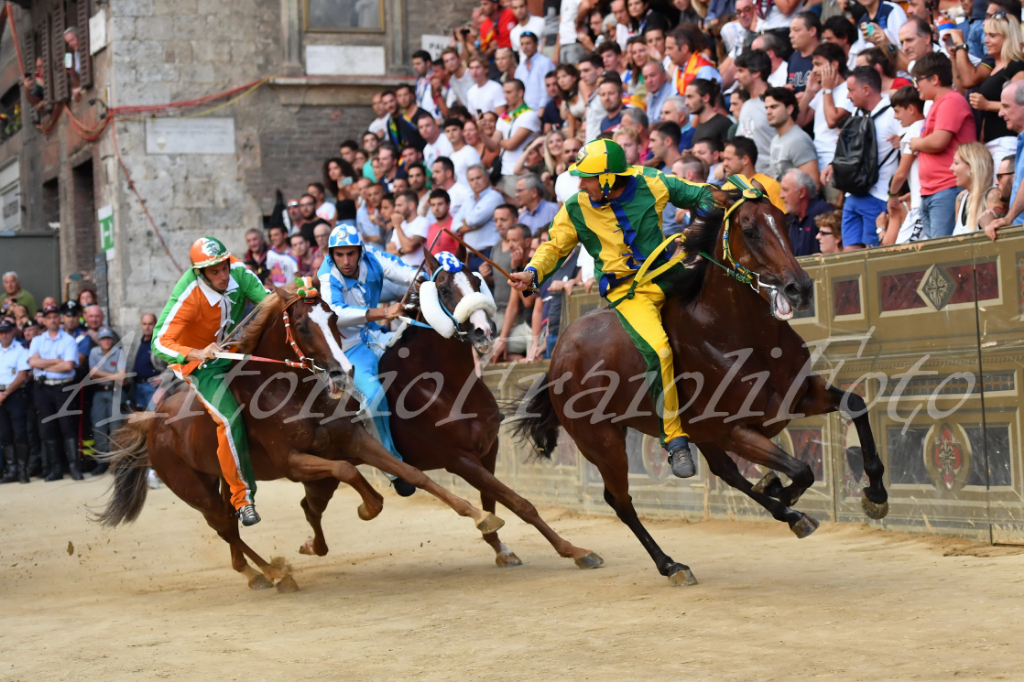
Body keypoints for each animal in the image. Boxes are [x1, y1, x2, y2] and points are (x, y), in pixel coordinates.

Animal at [97, 280, 505, 589]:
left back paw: (262, 573)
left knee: (232, 521)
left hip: (223, 479)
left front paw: (480, 515)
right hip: (192, 487)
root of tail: (152, 419)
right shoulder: (293, 463)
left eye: (334, 317)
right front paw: (367, 506)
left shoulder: (354, 440)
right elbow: (347, 472)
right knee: (226, 526)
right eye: (305, 327)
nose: (343, 370)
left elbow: (413, 474)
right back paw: (270, 573)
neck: (285, 391)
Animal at [292, 249, 602, 569]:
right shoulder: (458, 459)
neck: (443, 385)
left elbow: (492, 501)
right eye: (443, 290)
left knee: (310, 506)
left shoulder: (488, 449)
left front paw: (502, 548)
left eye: (476, 280)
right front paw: (575, 551)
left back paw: (308, 549)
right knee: (311, 506)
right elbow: (519, 503)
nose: (483, 331)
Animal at [512, 184, 888, 585]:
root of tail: (559, 352)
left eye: (785, 221)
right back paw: (672, 564)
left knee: (724, 473)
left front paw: (875, 495)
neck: (734, 335)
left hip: (693, 435)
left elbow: (854, 406)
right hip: (601, 441)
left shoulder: (799, 396)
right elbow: (801, 469)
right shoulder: (735, 430)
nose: (798, 287)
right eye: (750, 230)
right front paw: (781, 493)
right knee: (621, 501)